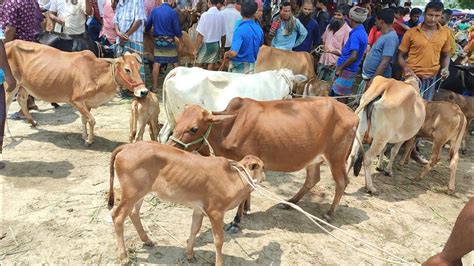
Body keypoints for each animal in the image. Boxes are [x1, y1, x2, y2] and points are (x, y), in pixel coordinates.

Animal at [4, 40, 147, 145]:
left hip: (23, 86)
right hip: (9, 87)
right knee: (6, 108)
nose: (143, 91)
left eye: (138, 67)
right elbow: (91, 120)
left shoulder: (87, 103)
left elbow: (85, 119)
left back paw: (32, 122)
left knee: (22, 100)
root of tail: (8, 43)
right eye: (127, 69)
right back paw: (9, 135)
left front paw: (85, 136)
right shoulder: (75, 100)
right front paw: (89, 140)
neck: (94, 73)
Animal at [108, 141, 266, 264]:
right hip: (131, 193)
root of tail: (128, 146)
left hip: (141, 193)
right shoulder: (216, 212)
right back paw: (124, 257)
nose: (265, 177)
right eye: (263, 167)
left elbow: (194, 229)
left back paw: (147, 240)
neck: (232, 179)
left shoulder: (199, 209)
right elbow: (219, 241)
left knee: (134, 213)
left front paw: (190, 254)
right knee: (118, 216)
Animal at [168, 98, 358, 229]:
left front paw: (237, 221)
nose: (169, 146)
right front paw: (246, 209)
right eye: (177, 120)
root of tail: (350, 111)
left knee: (342, 182)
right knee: (313, 179)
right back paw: (290, 202)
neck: (227, 128)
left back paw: (329, 214)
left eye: (193, 128)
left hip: (336, 158)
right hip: (314, 159)